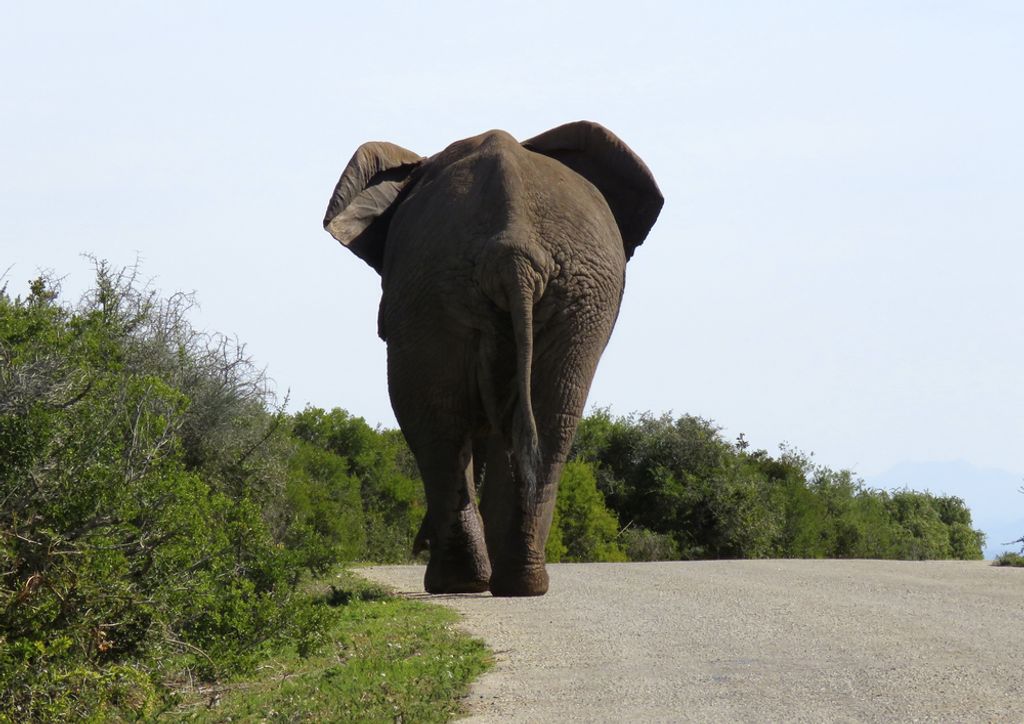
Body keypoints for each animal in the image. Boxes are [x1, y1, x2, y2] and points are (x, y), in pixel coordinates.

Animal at [323, 121, 663, 596]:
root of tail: (514, 247)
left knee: (437, 417)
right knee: (544, 418)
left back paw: (462, 583)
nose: (416, 543)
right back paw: (512, 584)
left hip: (458, 288)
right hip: (555, 295)